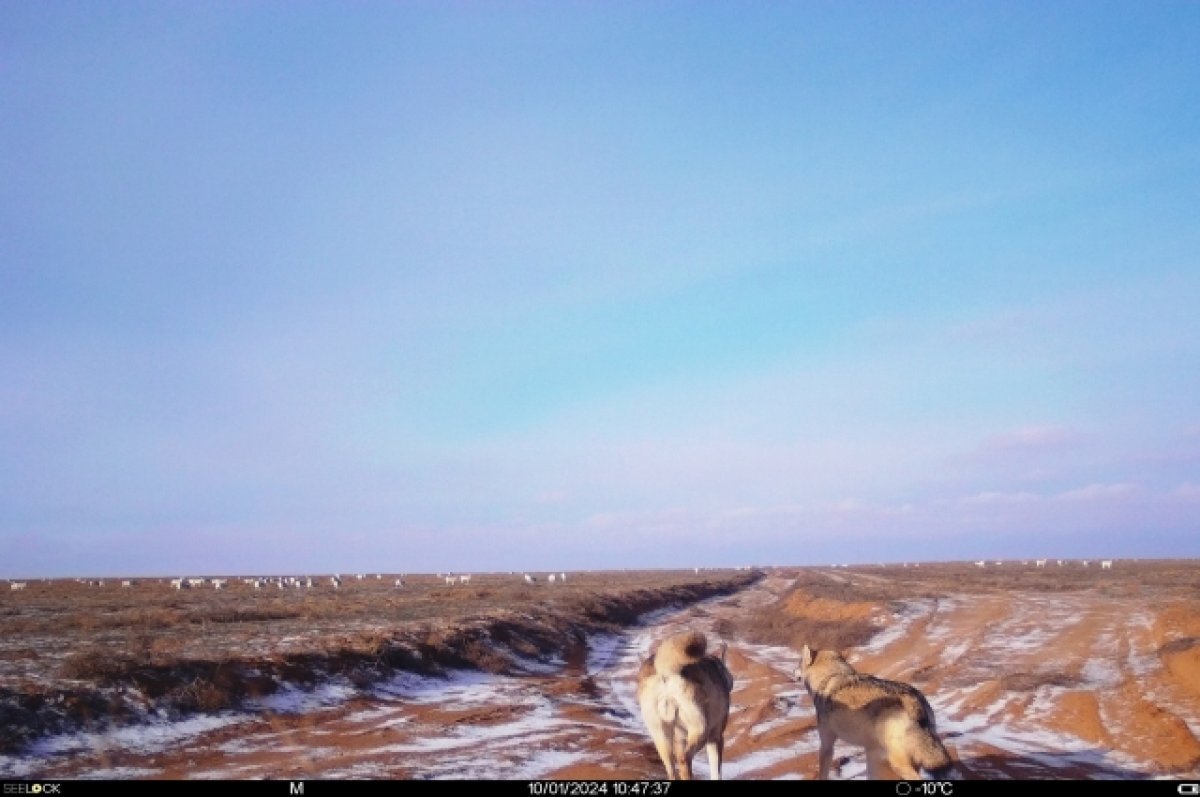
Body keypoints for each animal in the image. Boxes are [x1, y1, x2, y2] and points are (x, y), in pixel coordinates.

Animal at [633, 628, 734, 777]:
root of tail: (666, 674)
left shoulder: (680, 738)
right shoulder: (715, 737)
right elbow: (716, 772)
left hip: (661, 736)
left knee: (671, 769)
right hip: (701, 730)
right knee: (684, 759)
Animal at [796, 648, 955, 777]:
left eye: (798, 663)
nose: (794, 673)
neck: (831, 676)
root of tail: (912, 700)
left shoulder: (827, 744)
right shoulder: (872, 752)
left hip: (898, 763)